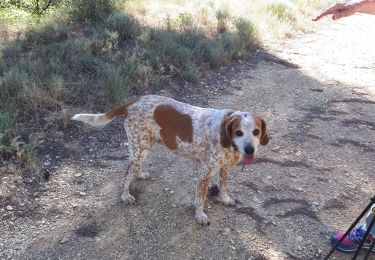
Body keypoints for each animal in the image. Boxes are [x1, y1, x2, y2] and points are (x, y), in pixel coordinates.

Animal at [71, 94, 270, 224]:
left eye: (256, 132)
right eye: (238, 132)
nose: (250, 149)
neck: (226, 139)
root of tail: (133, 101)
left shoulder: (224, 168)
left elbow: (224, 185)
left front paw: (224, 198)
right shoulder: (205, 173)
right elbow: (201, 198)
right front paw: (200, 216)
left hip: (145, 145)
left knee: (135, 168)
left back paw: (140, 175)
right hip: (140, 149)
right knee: (127, 173)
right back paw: (125, 196)